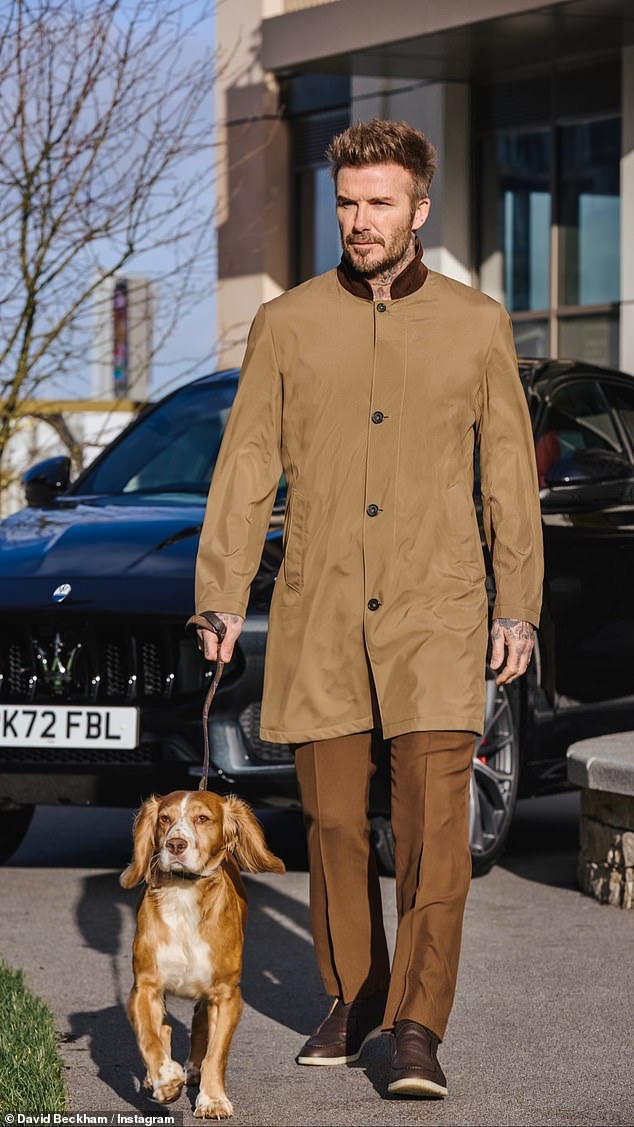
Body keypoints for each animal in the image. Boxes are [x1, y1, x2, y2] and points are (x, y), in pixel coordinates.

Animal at [118, 788, 284, 1122]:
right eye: (164, 818)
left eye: (203, 818)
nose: (175, 844)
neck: (184, 895)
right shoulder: (145, 987)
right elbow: (151, 1038)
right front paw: (166, 1079)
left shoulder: (226, 995)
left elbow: (215, 1053)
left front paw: (212, 1099)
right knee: (165, 1029)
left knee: (199, 1023)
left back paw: (193, 1070)